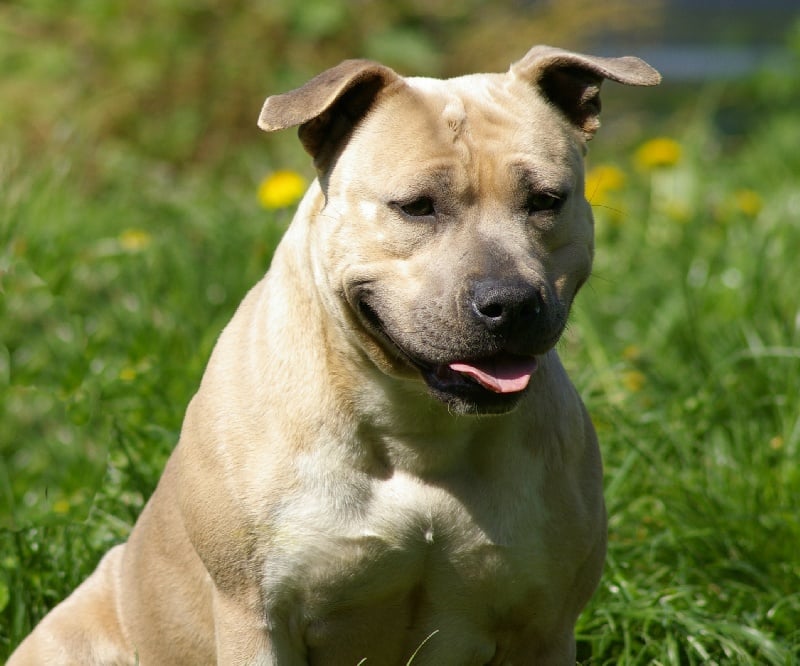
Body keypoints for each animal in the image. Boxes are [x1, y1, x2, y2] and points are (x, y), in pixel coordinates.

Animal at [12, 46, 660, 664]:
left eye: (546, 200)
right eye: (417, 206)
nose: (511, 301)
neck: (416, 431)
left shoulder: (543, 627)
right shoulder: (257, 619)